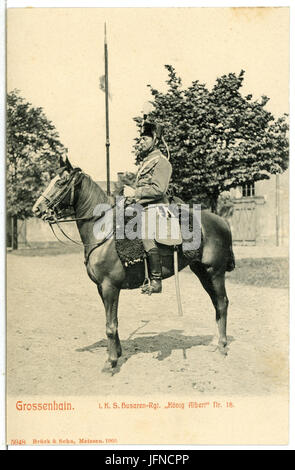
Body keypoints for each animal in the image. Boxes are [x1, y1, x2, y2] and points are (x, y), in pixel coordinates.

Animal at [33, 158, 236, 370]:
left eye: (60, 182)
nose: (36, 209)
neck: (103, 230)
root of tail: (221, 220)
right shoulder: (101, 288)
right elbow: (112, 321)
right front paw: (117, 353)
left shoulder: (110, 286)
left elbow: (110, 325)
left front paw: (111, 362)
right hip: (201, 272)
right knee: (216, 304)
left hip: (215, 272)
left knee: (222, 303)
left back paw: (222, 346)